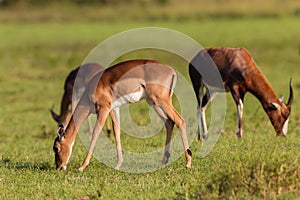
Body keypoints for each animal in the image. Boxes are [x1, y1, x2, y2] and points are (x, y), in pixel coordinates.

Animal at [53, 59, 192, 170]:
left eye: (56, 148)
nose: (59, 167)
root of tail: (172, 71)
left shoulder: (104, 109)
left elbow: (96, 133)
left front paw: (82, 166)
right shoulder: (114, 109)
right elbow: (117, 133)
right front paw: (118, 165)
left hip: (161, 100)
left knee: (180, 121)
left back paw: (188, 163)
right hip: (153, 102)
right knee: (169, 122)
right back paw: (163, 162)